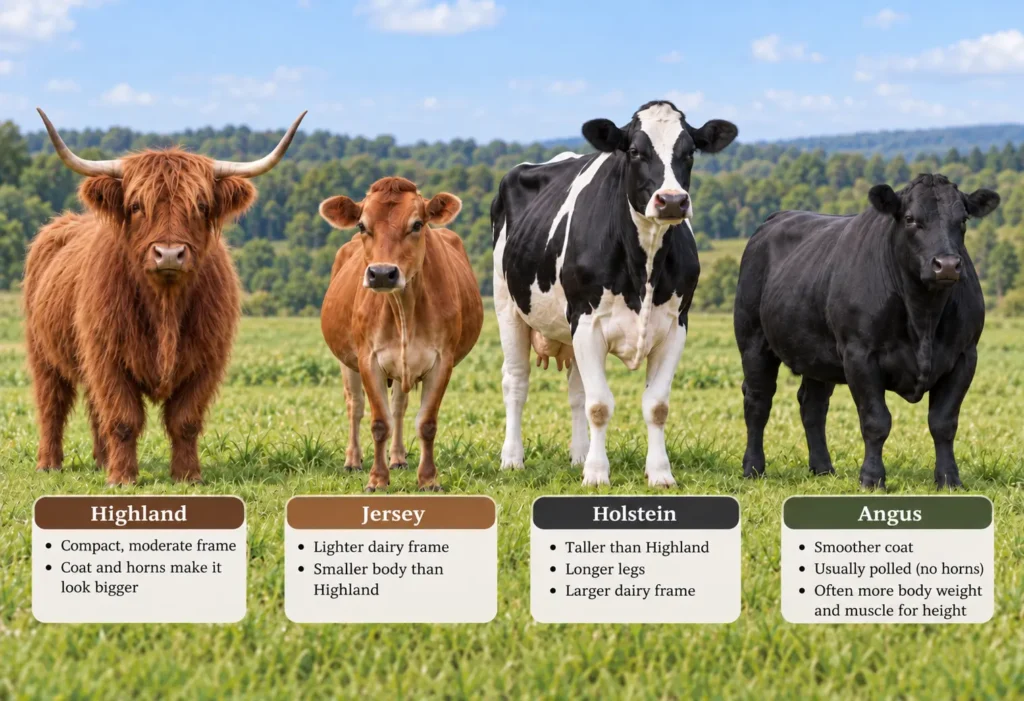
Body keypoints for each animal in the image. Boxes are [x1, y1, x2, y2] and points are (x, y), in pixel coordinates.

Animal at [24, 108, 305, 485]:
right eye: (136, 205)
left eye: (201, 204)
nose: (169, 254)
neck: (165, 307)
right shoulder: (107, 356)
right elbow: (123, 418)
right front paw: (122, 478)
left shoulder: (206, 359)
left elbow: (184, 420)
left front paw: (187, 475)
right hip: (43, 353)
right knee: (52, 404)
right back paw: (49, 463)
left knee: (94, 409)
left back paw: (100, 460)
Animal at [319, 177, 483, 492]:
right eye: (362, 225)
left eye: (417, 224)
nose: (382, 273)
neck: (403, 309)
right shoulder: (367, 359)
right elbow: (378, 423)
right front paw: (377, 479)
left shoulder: (442, 361)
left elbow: (426, 423)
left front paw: (428, 479)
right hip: (346, 362)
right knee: (355, 406)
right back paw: (353, 461)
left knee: (398, 407)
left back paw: (397, 457)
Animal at [491, 100, 738, 487]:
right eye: (635, 151)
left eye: (690, 152)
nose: (671, 201)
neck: (644, 264)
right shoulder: (587, 322)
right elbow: (600, 405)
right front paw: (596, 474)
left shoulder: (675, 327)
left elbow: (656, 406)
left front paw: (660, 473)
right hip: (508, 307)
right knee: (516, 382)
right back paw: (513, 458)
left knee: (576, 391)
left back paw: (578, 455)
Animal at [734, 173, 1000, 489]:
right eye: (910, 218)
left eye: (963, 219)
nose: (946, 265)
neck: (923, 316)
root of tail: (775, 219)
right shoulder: (859, 354)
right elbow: (876, 421)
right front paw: (872, 478)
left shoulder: (964, 356)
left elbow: (943, 422)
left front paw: (949, 479)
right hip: (753, 341)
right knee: (758, 401)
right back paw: (753, 468)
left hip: (817, 353)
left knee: (813, 406)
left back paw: (822, 468)